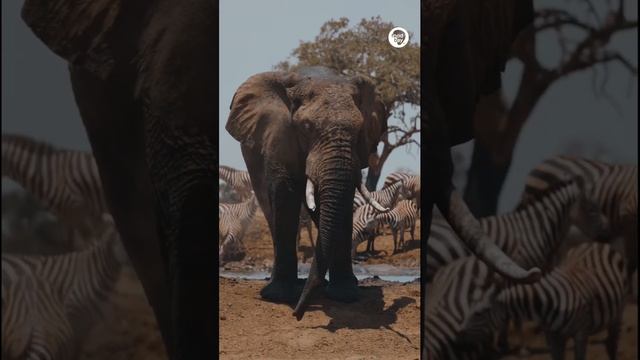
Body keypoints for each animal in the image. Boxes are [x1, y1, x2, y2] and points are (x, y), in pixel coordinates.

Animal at [228, 66, 390, 320]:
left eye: (358, 130)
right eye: (306, 128)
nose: (297, 314)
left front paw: (345, 295)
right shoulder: (279, 136)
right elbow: (285, 194)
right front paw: (279, 296)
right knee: (269, 206)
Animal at [458, 242, 628, 360]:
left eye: (480, 312)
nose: (459, 337)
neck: (548, 305)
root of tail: (596, 244)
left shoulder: (580, 333)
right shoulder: (553, 337)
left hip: (618, 312)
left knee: (612, 343)